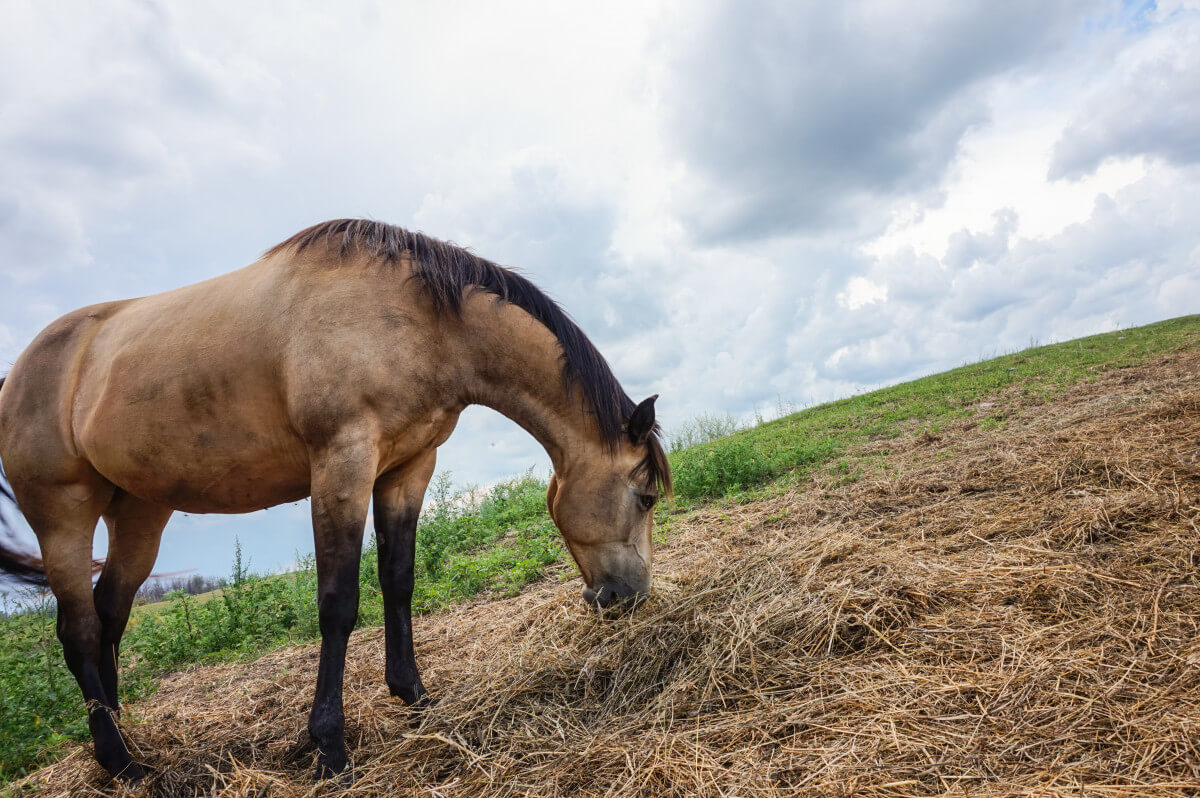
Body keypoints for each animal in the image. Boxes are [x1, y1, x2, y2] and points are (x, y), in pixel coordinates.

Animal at [0, 219, 671, 782]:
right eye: (643, 497)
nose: (629, 598)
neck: (425, 322)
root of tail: (21, 371)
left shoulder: (407, 468)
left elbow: (398, 581)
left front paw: (414, 698)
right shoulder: (341, 465)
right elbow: (338, 603)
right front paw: (329, 746)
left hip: (141, 511)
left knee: (109, 615)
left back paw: (120, 739)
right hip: (63, 515)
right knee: (79, 630)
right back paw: (120, 763)